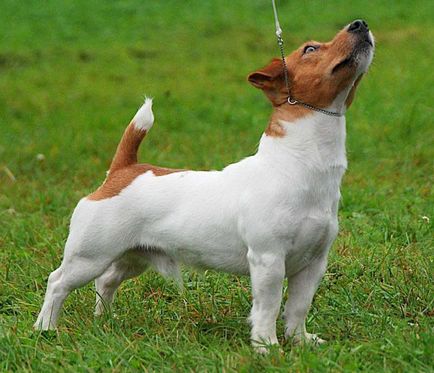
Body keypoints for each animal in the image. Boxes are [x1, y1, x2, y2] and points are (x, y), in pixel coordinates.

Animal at [34, 19, 372, 352]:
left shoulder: (313, 264)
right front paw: (267, 347)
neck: (296, 164)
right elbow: (269, 306)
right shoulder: (268, 260)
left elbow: (298, 307)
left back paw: (105, 320)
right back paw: (46, 328)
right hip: (90, 256)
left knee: (106, 281)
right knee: (58, 282)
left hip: (133, 255)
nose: (360, 24)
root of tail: (122, 170)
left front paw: (300, 341)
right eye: (310, 49)